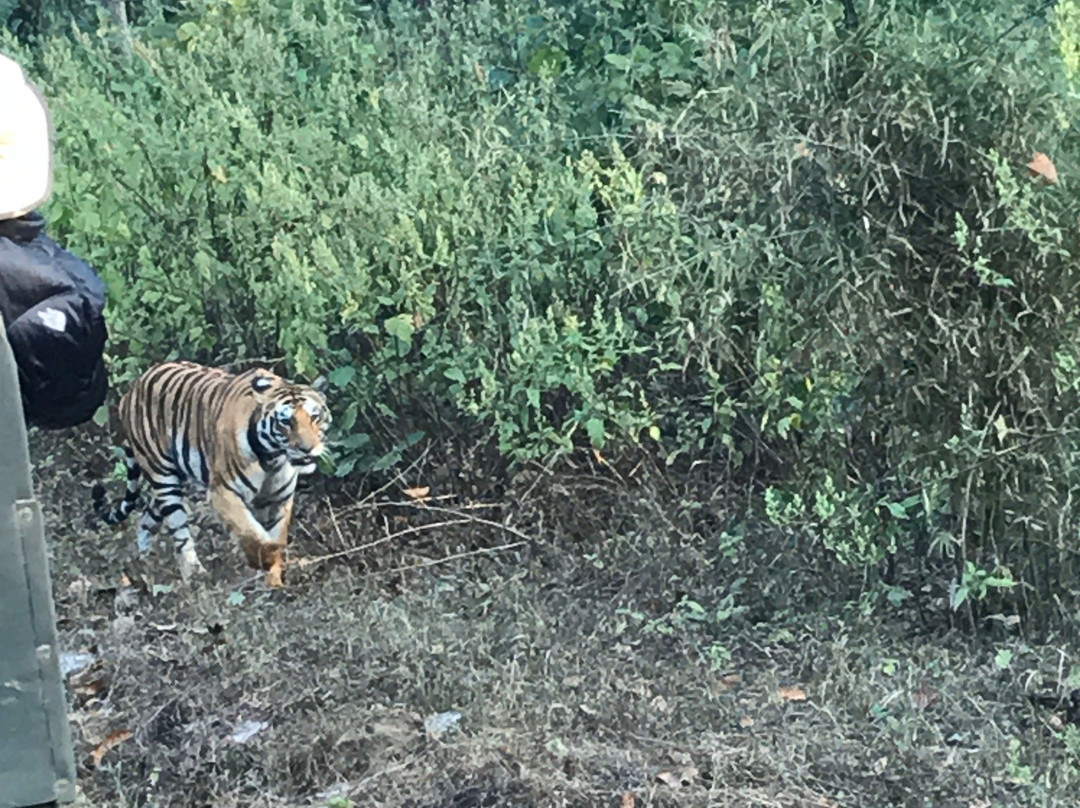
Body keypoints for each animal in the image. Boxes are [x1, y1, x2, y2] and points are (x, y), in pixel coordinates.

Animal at [91, 360, 330, 587]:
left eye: (315, 417)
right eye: (285, 422)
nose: (307, 448)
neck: (273, 459)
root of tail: (132, 389)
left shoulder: (279, 499)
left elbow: (274, 533)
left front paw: (274, 582)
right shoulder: (223, 493)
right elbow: (251, 531)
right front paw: (265, 557)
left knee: (146, 517)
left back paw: (145, 563)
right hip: (163, 478)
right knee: (178, 530)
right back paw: (193, 575)